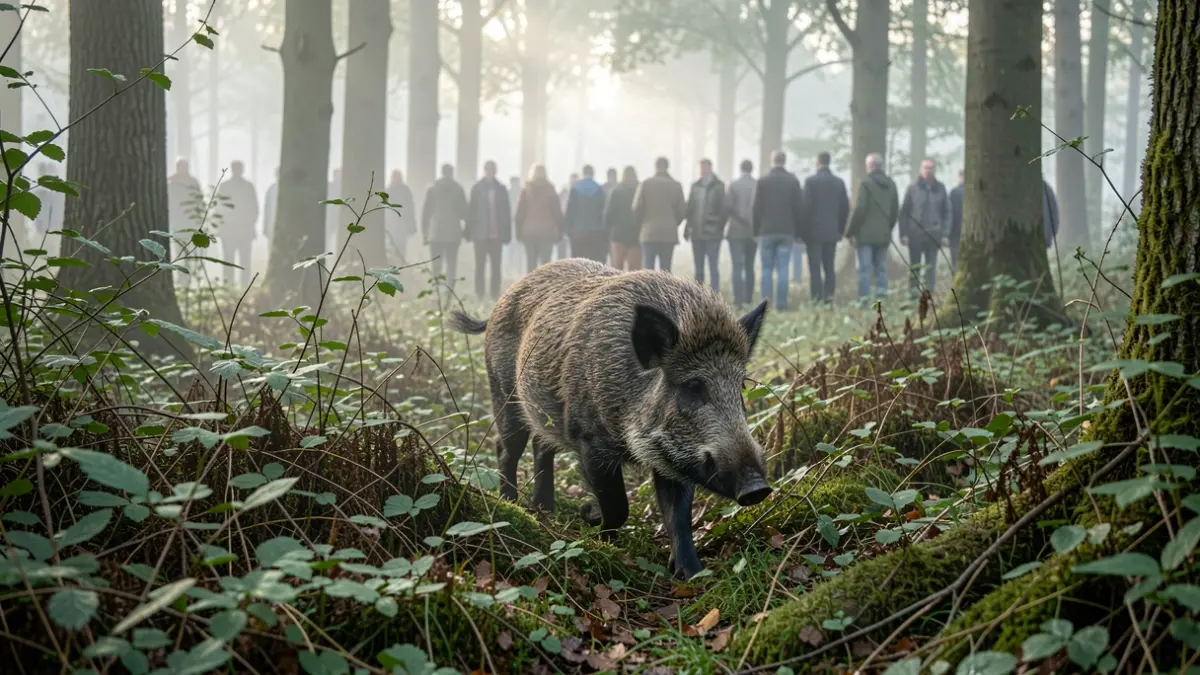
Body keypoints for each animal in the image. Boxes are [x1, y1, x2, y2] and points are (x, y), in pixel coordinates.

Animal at [449, 258, 771, 578]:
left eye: (741, 386)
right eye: (693, 386)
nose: (758, 488)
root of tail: (497, 307)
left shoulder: (675, 458)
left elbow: (679, 516)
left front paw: (693, 574)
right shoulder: (590, 440)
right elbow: (618, 506)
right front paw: (594, 525)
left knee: (542, 448)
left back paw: (545, 511)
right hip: (504, 393)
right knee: (506, 449)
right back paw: (510, 504)